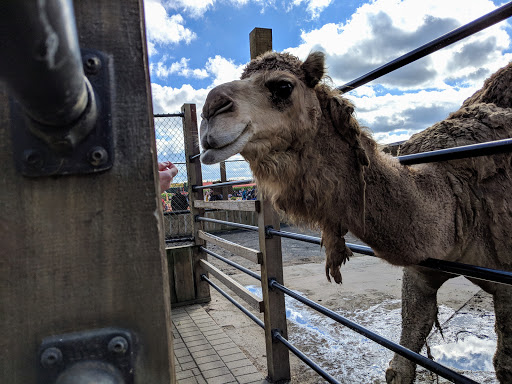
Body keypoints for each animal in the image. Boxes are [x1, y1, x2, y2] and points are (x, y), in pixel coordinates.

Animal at [198, 51, 512, 384]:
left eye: (283, 86)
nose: (210, 110)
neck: (456, 196)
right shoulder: (421, 269)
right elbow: (403, 357)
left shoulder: (506, 281)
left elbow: (503, 364)